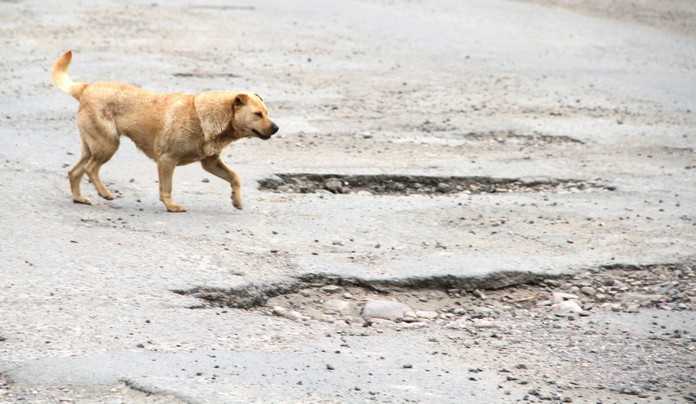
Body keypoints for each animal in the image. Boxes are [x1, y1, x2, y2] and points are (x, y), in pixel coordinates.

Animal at [50, 50, 278, 211]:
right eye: (258, 114)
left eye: (267, 112)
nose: (276, 128)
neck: (205, 116)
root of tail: (86, 87)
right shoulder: (167, 160)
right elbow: (166, 188)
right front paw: (171, 206)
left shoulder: (210, 163)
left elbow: (235, 177)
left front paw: (236, 200)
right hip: (108, 144)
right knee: (91, 169)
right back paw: (104, 192)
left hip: (93, 146)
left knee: (74, 172)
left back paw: (79, 198)